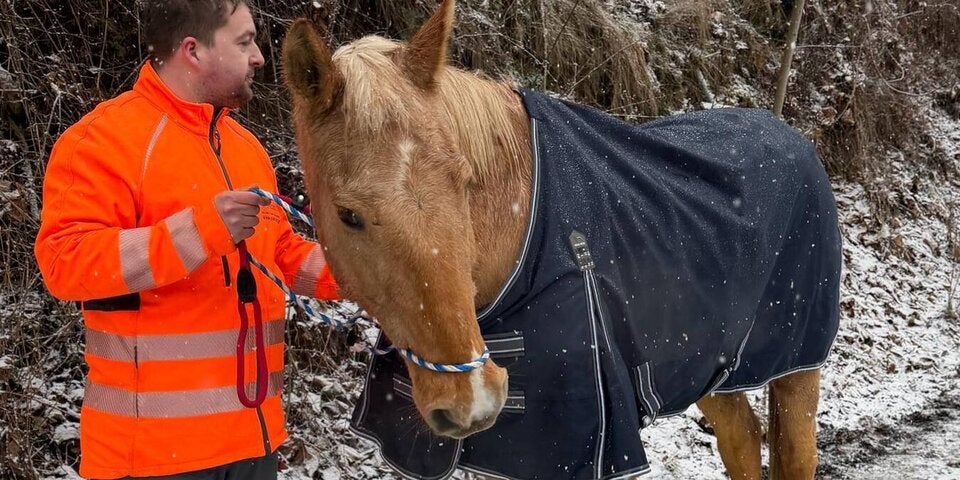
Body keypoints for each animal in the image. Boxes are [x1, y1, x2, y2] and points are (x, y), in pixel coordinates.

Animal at [280, 1, 841, 479]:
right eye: (348, 215)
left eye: (463, 182)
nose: (473, 400)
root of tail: (792, 136)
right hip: (709, 368)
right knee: (741, 438)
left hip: (797, 367)